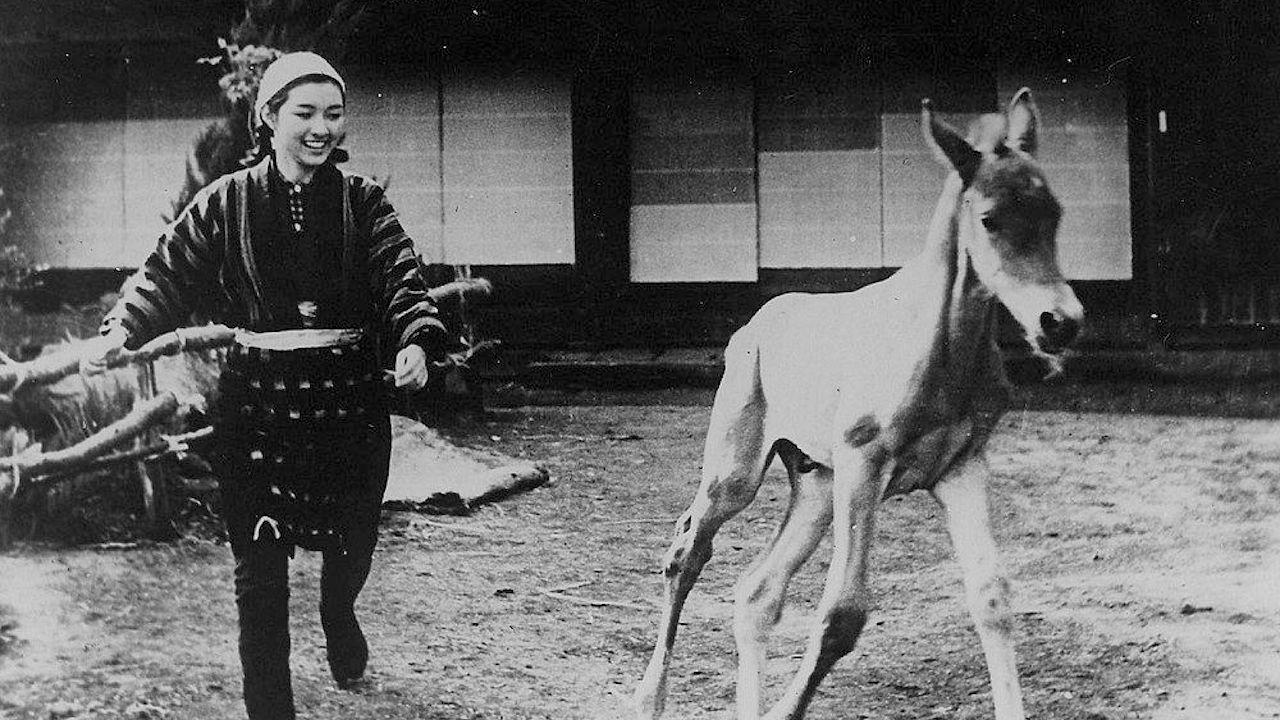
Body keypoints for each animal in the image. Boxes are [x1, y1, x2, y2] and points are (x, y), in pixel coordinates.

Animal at [633, 88, 1083, 720]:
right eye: (990, 219)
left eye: (1055, 214)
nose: (1059, 324)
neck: (940, 348)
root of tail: (755, 322)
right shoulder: (864, 466)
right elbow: (842, 615)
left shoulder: (961, 467)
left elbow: (991, 597)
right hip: (737, 474)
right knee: (687, 552)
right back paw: (648, 695)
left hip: (817, 485)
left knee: (756, 592)